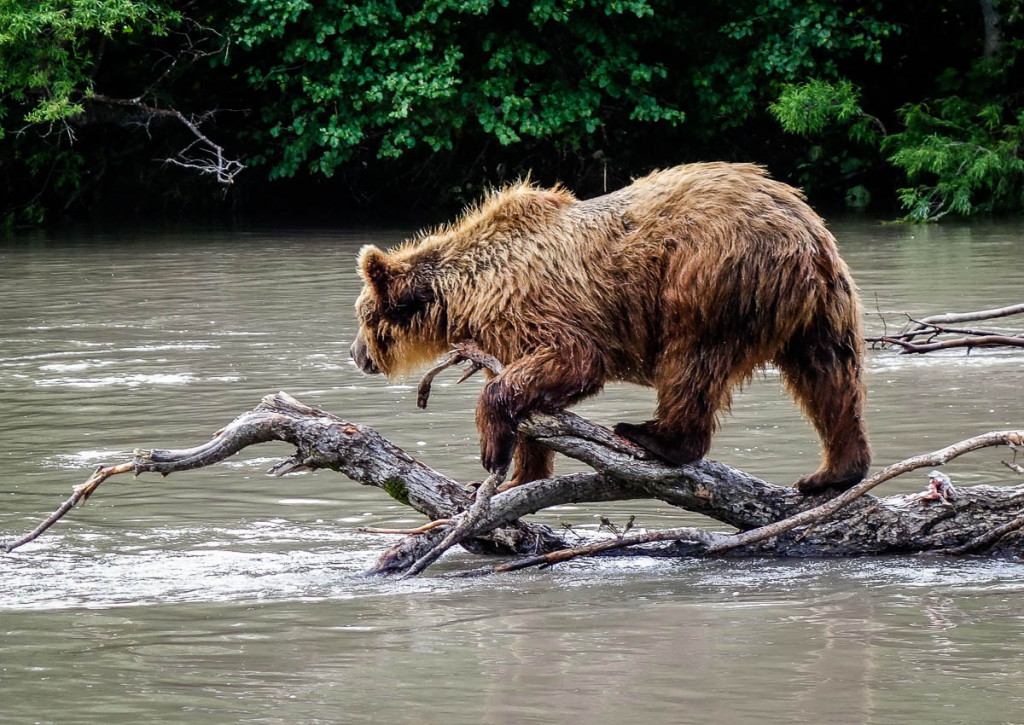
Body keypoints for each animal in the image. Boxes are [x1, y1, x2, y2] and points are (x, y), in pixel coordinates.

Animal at [352, 161, 872, 495]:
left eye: (361, 314)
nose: (356, 354)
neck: (466, 290)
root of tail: (803, 231)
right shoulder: (502, 335)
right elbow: (527, 398)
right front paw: (515, 472)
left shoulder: (534, 305)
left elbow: (573, 358)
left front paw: (491, 450)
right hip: (824, 303)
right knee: (829, 375)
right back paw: (834, 471)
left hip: (710, 272)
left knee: (693, 359)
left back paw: (653, 435)